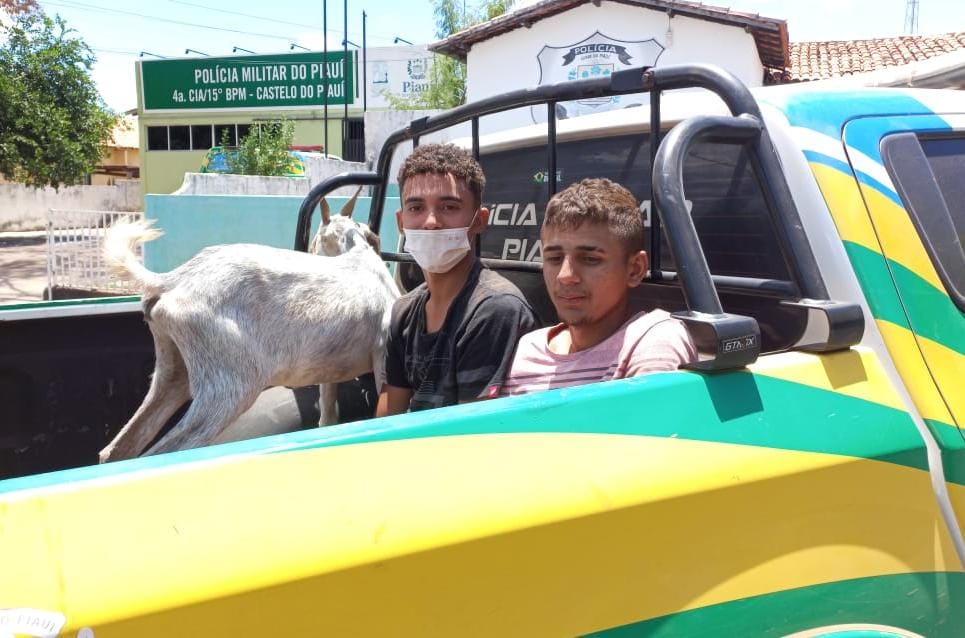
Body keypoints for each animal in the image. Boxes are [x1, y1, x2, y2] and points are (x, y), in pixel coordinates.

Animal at [98, 198, 400, 462]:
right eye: (320, 238)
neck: (361, 256)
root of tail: (175, 279)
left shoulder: (330, 369)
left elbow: (327, 417)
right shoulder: (382, 355)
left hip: (174, 372)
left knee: (115, 450)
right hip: (230, 385)